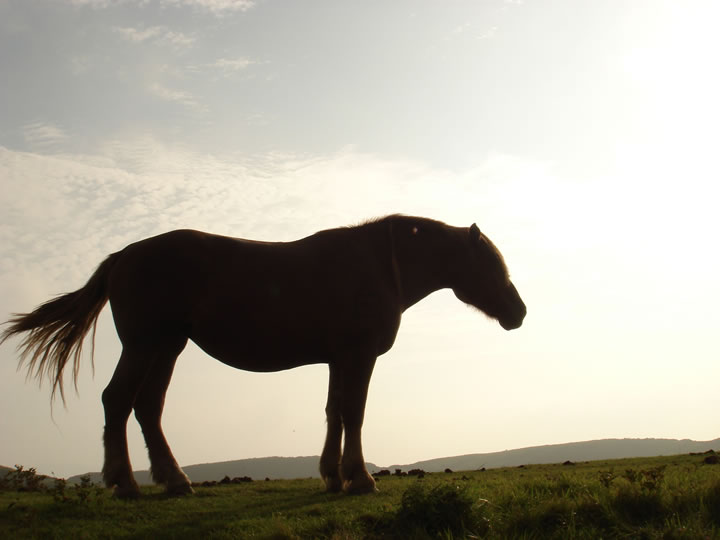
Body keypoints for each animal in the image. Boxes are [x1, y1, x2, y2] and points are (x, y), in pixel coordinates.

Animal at [2, 215, 524, 498]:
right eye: (492, 266)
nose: (518, 312)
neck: (381, 266)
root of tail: (123, 256)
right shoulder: (358, 356)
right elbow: (353, 413)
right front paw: (359, 479)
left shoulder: (338, 359)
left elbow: (334, 413)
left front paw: (332, 477)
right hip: (144, 343)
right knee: (118, 400)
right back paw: (125, 483)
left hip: (168, 346)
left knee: (147, 408)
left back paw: (174, 481)